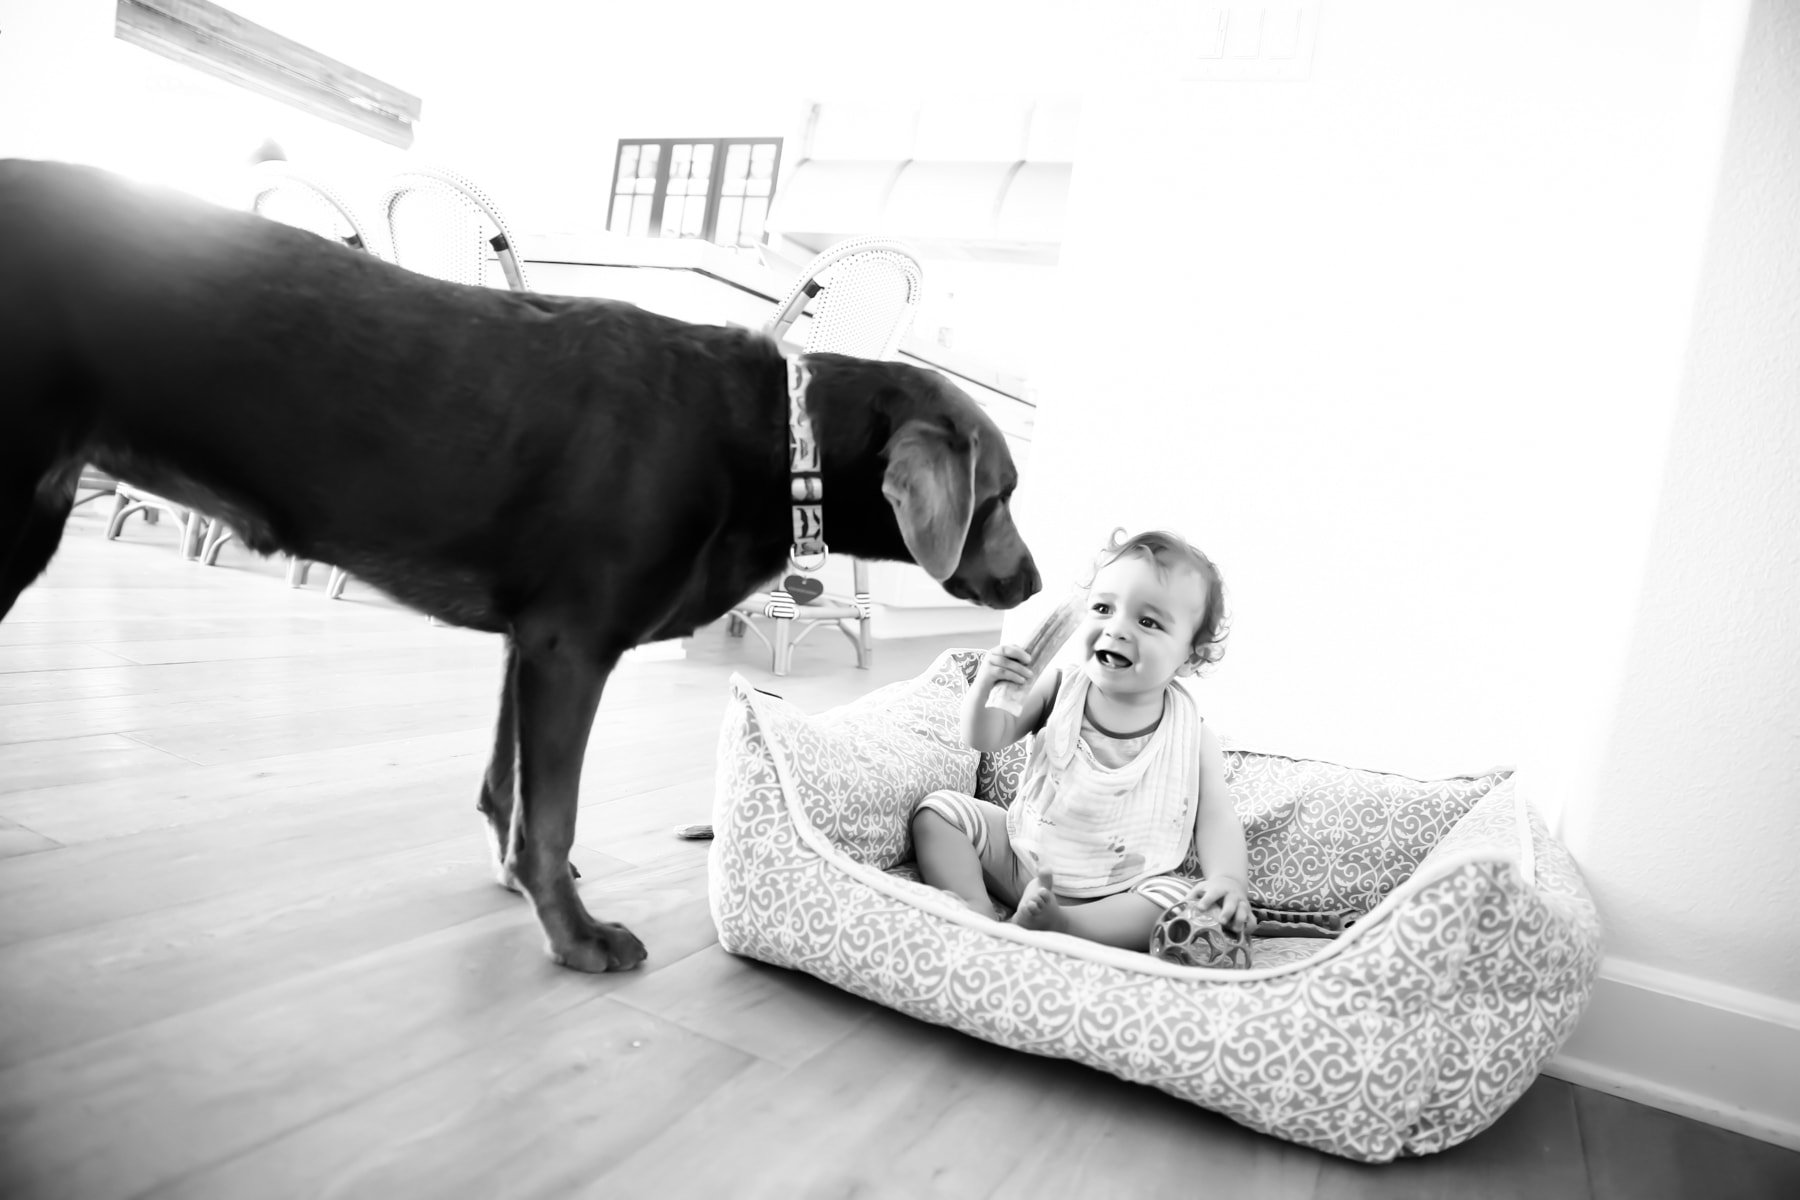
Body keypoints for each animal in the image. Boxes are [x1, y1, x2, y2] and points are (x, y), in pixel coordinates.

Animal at [0, 159, 1044, 971]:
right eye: (1001, 495)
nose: (1033, 584)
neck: (774, 438)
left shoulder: (528, 643)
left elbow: (508, 793)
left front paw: (521, 883)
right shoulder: (569, 647)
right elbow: (553, 814)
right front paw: (575, 935)